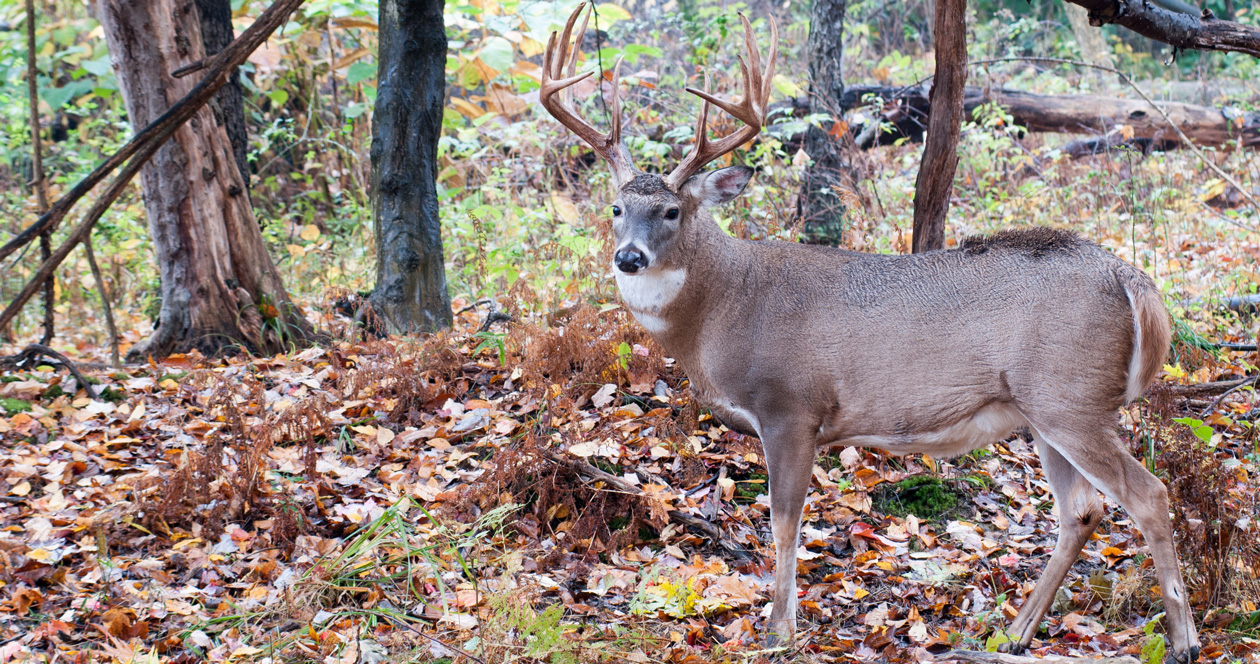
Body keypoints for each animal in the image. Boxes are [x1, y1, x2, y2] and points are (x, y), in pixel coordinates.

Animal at [539, 5, 1199, 660]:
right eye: (616, 208)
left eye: (672, 211)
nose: (629, 257)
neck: (723, 306)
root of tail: (1130, 278)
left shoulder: (791, 407)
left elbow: (784, 522)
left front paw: (779, 631)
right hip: (1044, 410)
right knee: (1082, 511)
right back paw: (1015, 632)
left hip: (1071, 396)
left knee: (1149, 495)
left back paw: (1183, 640)